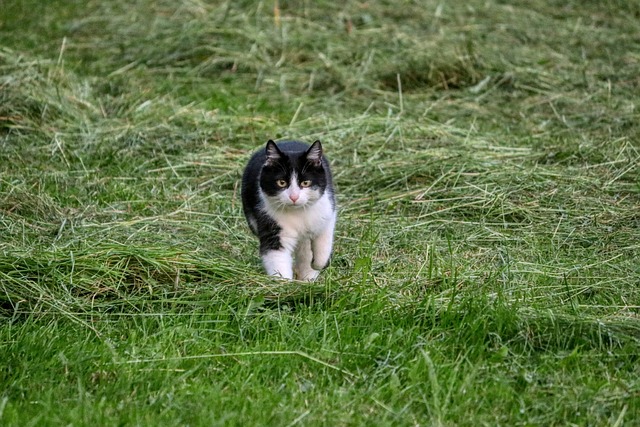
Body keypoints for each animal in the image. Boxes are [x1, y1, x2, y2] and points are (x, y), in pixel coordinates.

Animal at [240, 140, 338, 280]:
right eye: (281, 183)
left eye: (305, 183)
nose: (294, 197)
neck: (298, 213)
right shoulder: (271, 224)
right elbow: (276, 258)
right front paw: (284, 283)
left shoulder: (327, 213)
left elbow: (324, 243)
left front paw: (317, 264)